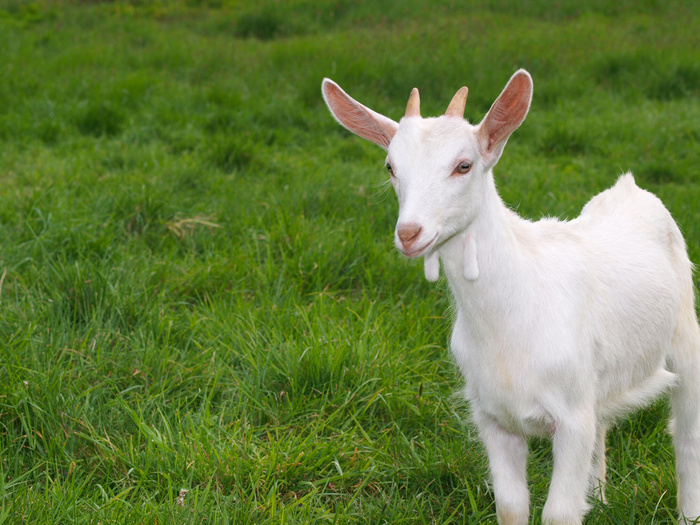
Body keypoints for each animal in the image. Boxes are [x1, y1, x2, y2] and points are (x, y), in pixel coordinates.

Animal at [322, 70, 700, 524]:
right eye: (391, 166)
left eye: (464, 165)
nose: (409, 233)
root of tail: (630, 188)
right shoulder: (493, 417)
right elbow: (511, 505)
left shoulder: (570, 418)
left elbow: (558, 512)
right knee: (604, 426)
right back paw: (598, 496)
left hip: (686, 337)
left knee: (686, 435)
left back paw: (688, 513)